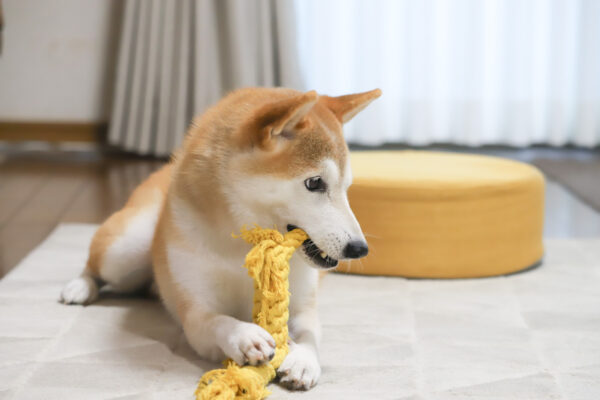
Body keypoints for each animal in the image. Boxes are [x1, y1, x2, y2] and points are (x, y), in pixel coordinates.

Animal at [61, 87, 380, 390]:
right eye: (314, 183)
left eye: (347, 187)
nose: (359, 248)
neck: (245, 247)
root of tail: (163, 172)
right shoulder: (196, 314)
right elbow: (216, 321)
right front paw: (243, 336)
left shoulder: (302, 307)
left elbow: (310, 335)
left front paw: (303, 360)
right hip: (126, 249)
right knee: (94, 266)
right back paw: (79, 287)